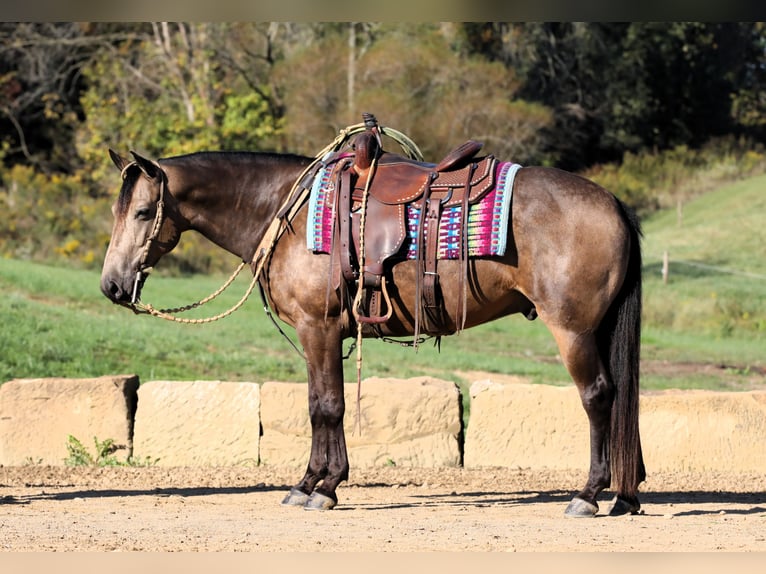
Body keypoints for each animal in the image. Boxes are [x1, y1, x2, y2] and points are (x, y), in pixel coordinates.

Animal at [99, 120, 644, 516]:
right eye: (117, 211)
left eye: (143, 212)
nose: (112, 286)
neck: (287, 213)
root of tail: (614, 202)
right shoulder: (324, 333)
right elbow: (320, 403)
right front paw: (312, 482)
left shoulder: (317, 327)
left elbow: (327, 407)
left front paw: (322, 487)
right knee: (619, 400)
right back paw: (625, 494)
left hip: (573, 330)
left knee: (598, 397)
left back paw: (588, 494)